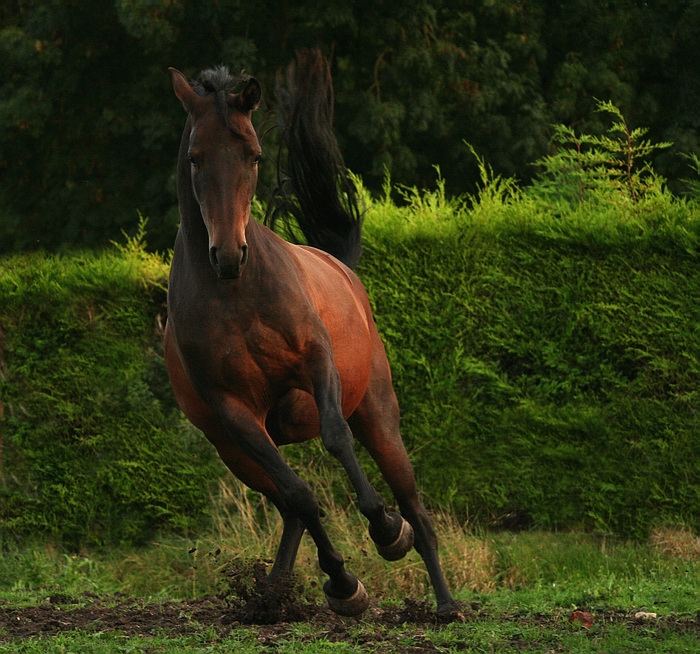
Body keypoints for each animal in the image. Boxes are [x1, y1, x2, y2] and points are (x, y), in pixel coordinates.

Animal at [161, 48, 462, 624]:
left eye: (254, 156)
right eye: (194, 158)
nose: (227, 254)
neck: (235, 295)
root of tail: (340, 267)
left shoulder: (317, 363)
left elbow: (336, 437)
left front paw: (385, 530)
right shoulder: (235, 411)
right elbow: (301, 496)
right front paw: (343, 583)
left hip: (378, 415)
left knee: (414, 504)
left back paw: (443, 599)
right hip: (238, 453)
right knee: (292, 503)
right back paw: (287, 591)